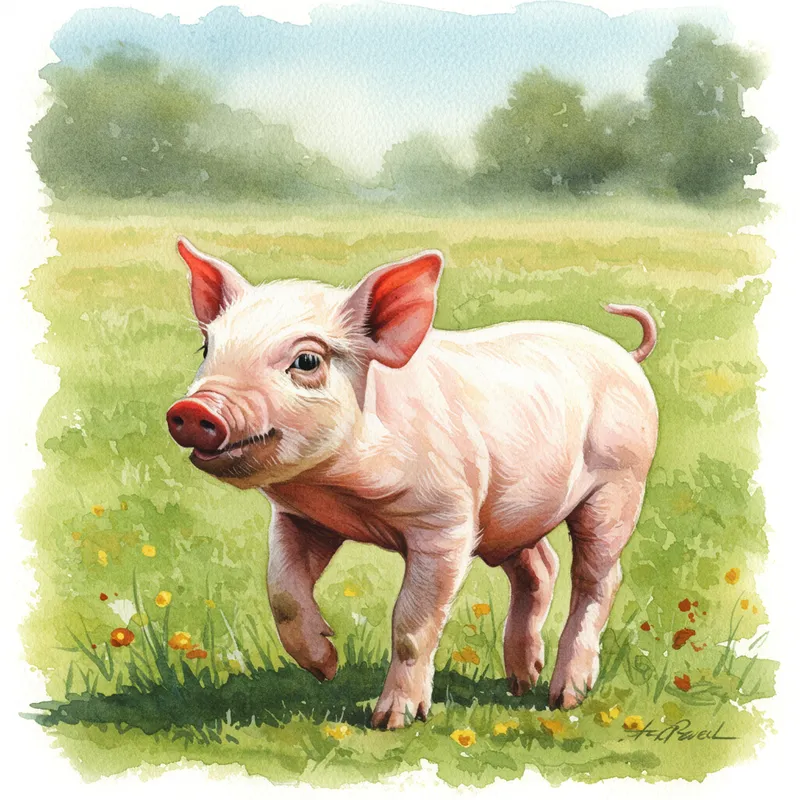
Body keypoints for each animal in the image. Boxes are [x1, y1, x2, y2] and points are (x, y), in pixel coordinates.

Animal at [166, 237, 658, 729]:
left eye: (306, 360)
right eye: (207, 347)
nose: (195, 408)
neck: (338, 491)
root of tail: (625, 356)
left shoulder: (448, 520)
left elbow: (412, 623)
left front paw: (391, 721)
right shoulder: (300, 518)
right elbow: (282, 593)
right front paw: (325, 667)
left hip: (620, 483)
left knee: (598, 577)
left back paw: (565, 698)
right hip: (511, 512)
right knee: (541, 567)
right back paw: (520, 682)